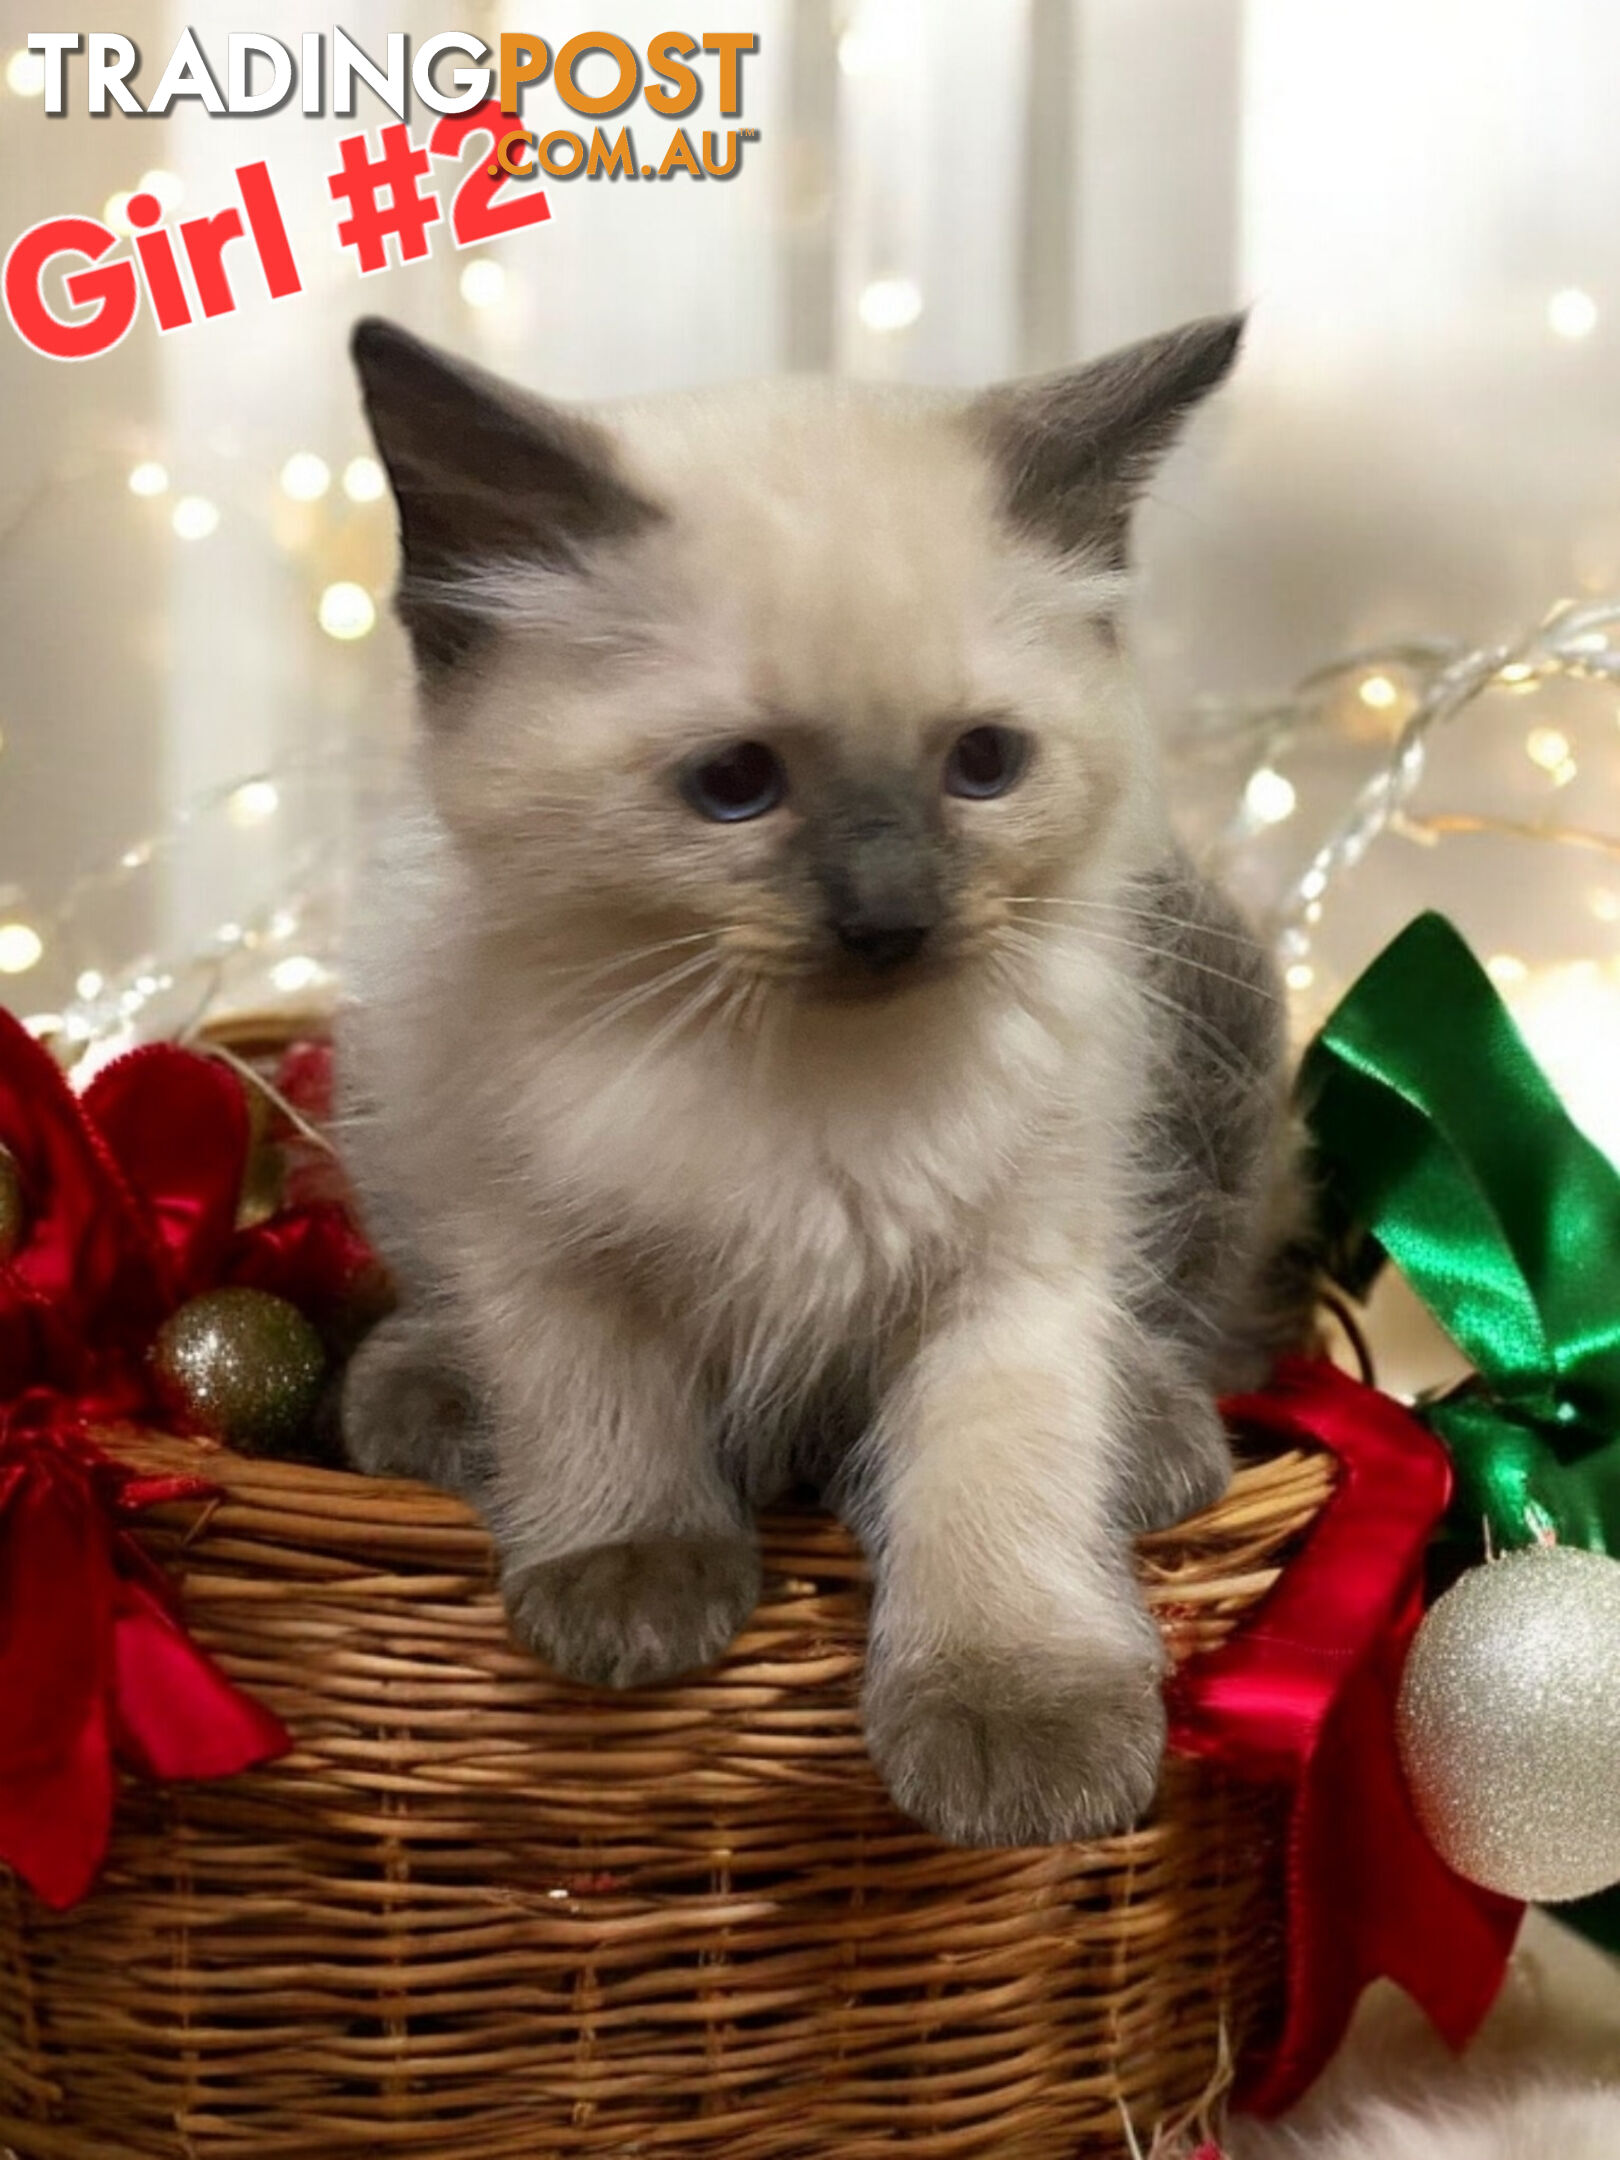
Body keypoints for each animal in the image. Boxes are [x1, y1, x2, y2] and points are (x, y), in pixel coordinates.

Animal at [343, 313, 1304, 1848]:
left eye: (984, 763)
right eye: (735, 784)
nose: (890, 920)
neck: (806, 1083)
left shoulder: (1011, 1269)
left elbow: (998, 1472)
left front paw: (1017, 1722)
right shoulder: (538, 1225)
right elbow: (594, 1399)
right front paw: (631, 1580)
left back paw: (1158, 1439)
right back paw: (421, 1399)